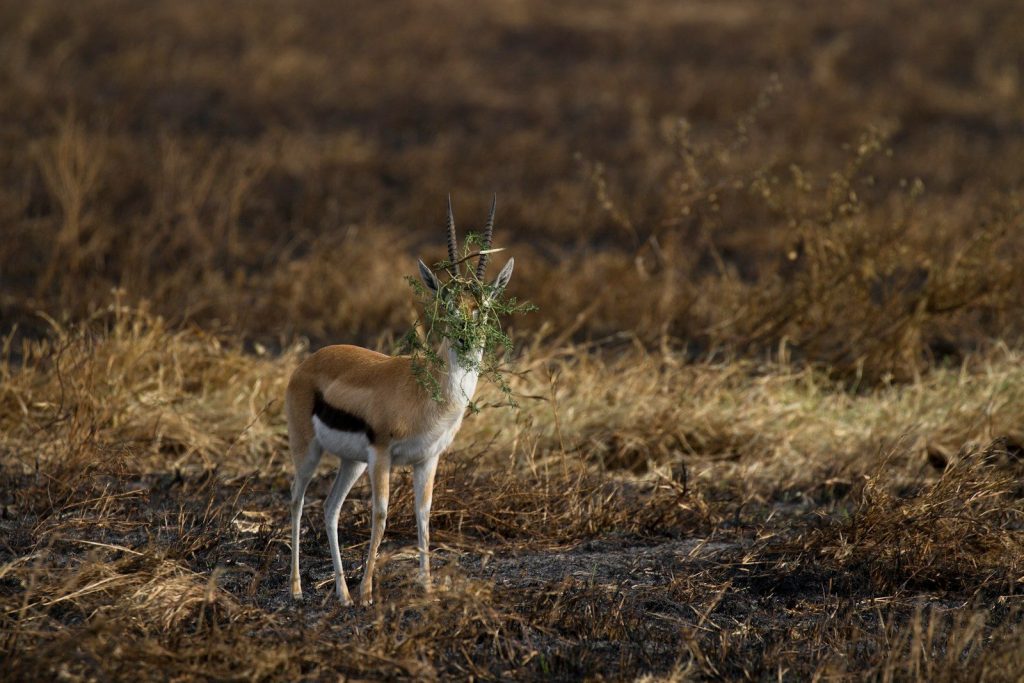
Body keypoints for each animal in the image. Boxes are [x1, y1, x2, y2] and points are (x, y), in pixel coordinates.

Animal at [285, 196, 514, 605]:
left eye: (484, 308)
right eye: (448, 307)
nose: (467, 340)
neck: (425, 394)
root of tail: (308, 363)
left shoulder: (427, 460)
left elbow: (423, 517)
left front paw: (426, 588)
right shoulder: (382, 456)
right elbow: (381, 515)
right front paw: (368, 593)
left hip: (351, 462)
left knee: (329, 508)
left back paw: (342, 594)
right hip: (310, 452)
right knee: (297, 500)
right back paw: (297, 589)